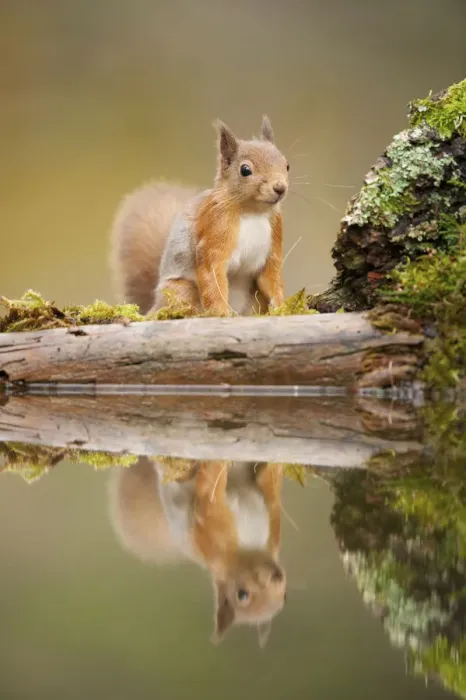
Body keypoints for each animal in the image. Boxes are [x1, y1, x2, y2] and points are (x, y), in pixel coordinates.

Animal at [108, 458, 286, 647]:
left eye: (285, 596)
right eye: (242, 595)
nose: (277, 576)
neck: (250, 549)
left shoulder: (271, 529)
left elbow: (269, 489)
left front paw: (274, 469)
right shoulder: (211, 536)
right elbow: (210, 498)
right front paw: (217, 468)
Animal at [110, 116, 289, 316]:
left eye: (287, 165)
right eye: (245, 170)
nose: (280, 188)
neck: (253, 212)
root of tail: (154, 305)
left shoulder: (274, 240)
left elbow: (272, 280)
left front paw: (282, 306)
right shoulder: (215, 231)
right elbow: (212, 276)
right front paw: (221, 312)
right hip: (181, 291)